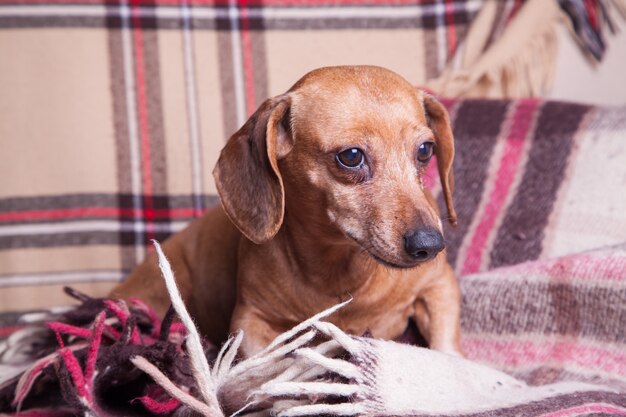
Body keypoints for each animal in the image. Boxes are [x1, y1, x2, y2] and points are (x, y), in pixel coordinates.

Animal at [109, 66, 460, 358]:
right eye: (351, 156)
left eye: (425, 150)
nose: (430, 245)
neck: (340, 277)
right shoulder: (250, 320)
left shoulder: (439, 285)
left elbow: (446, 348)